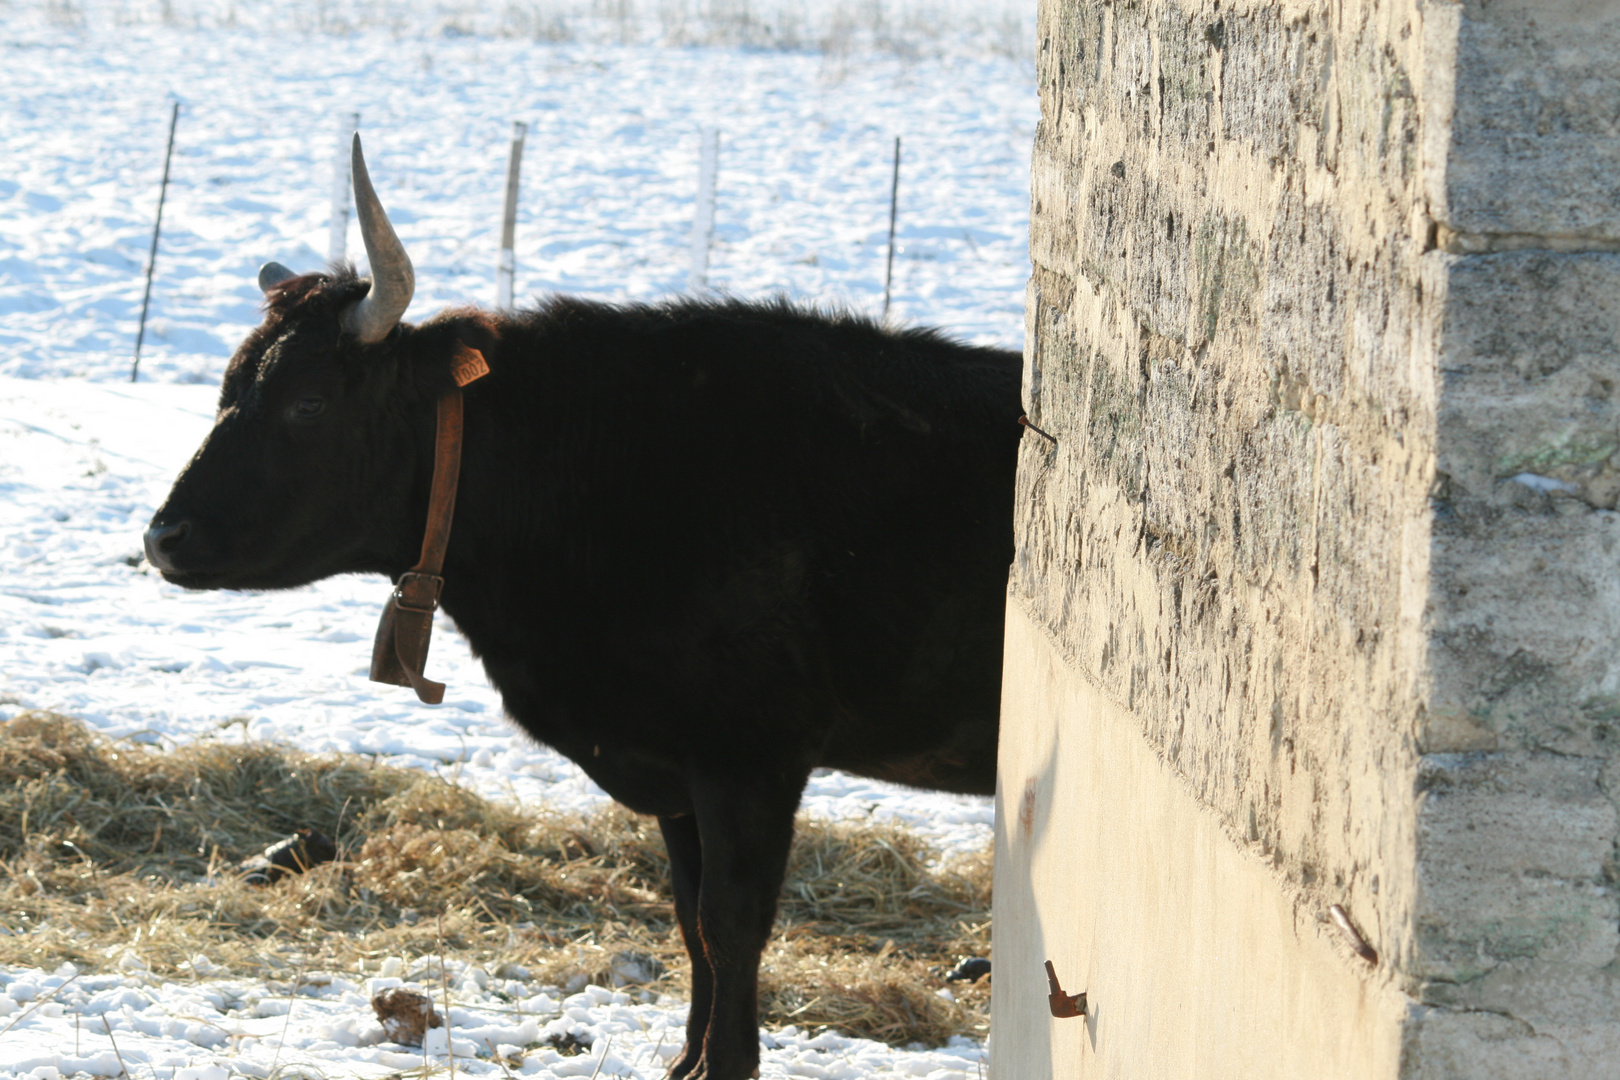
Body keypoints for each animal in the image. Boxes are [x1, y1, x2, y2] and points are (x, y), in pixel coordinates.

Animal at [149, 137, 1010, 1080]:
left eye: (308, 402)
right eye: (228, 387)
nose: (163, 536)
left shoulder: (752, 756)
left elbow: (731, 925)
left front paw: (726, 1063)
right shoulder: (676, 766)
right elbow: (690, 920)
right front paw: (685, 1063)